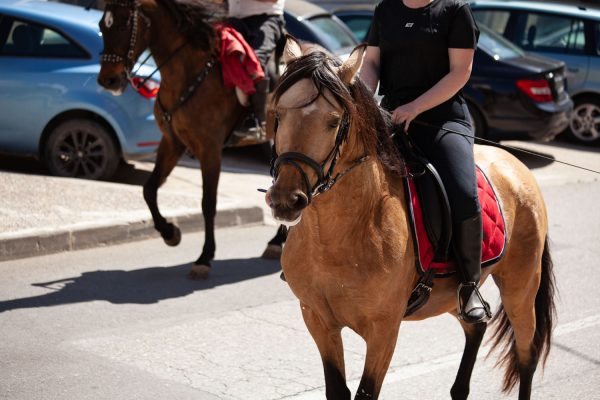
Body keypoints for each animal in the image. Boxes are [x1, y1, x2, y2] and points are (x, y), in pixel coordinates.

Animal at [98, 0, 286, 278]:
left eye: (123, 25)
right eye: (102, 25)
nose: (108, 80)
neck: (190, 73)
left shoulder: (210, 150)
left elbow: (208, 203)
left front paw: (204, 257)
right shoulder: (171, 143)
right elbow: (149, 189)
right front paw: (169, 232)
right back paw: (276, 241)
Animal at [268, 37, 556, 400]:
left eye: (333, 122)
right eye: (279, 115)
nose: (285, 200)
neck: (339, 236)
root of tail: (516, 165)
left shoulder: (383, 330)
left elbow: (365, 392)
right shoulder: (318, 319)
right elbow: (337, 390)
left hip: (521, 285)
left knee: (526, 354)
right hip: (454, 297)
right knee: (476, 326)